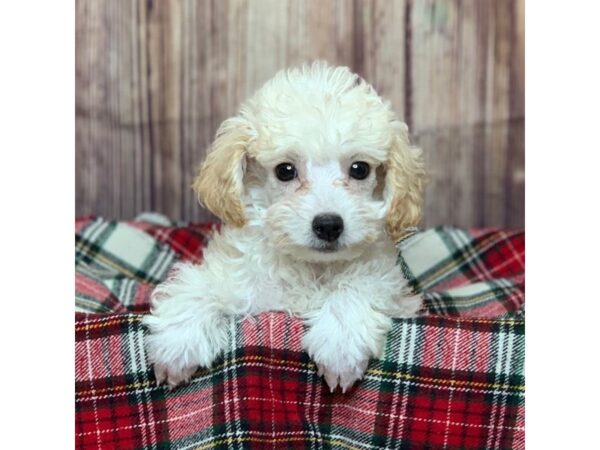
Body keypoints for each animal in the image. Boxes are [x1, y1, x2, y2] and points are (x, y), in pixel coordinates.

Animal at [142, 61, 424, 392]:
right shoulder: (236, 279)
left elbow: (358, 285)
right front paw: (177, 344)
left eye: (360, 169)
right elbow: (198, 287)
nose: (328, 225)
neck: (310, 267)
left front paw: (340, 344)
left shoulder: (392, 289)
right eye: (285, 171)